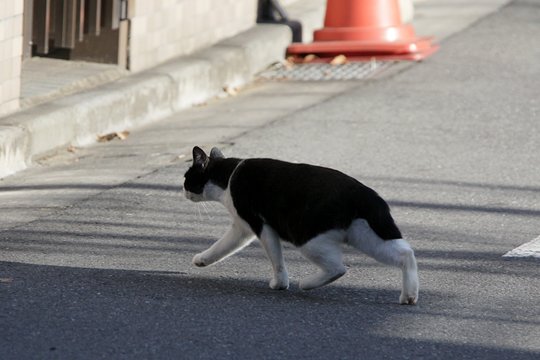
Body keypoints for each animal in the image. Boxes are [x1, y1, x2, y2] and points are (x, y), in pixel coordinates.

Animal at [184, 146, 420, 304]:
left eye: (187, 178)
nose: (184, 190)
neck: (228, 177)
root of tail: (363, 193)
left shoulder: (260, 224)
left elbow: (276, 258)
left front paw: (280, 283)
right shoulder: (242, 228)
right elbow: (222, 246)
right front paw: (202, 260)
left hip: (306, 236)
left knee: (338, 268)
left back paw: (306, 284)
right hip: (367, 236)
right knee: (405, 254)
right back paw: (409, 295)